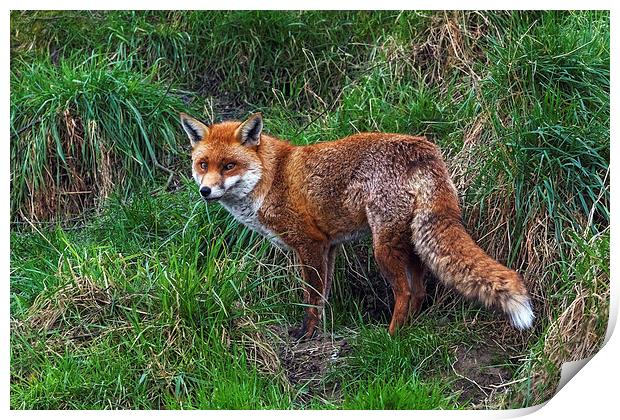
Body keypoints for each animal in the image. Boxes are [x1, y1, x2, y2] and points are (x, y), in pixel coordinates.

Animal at [179, 111, 532, 338]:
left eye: (228, 166)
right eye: (203, 165)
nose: (205, 191)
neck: (270, 178)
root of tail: (423, 148)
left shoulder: (310, 243)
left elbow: (311, 297)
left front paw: (307, 334)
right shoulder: (328, 246)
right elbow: (321, 296)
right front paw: (318, 330)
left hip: (383, 248)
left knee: (405, 292)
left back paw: (391, 337)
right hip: (410, 243)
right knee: (419, 291)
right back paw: (410, 330)